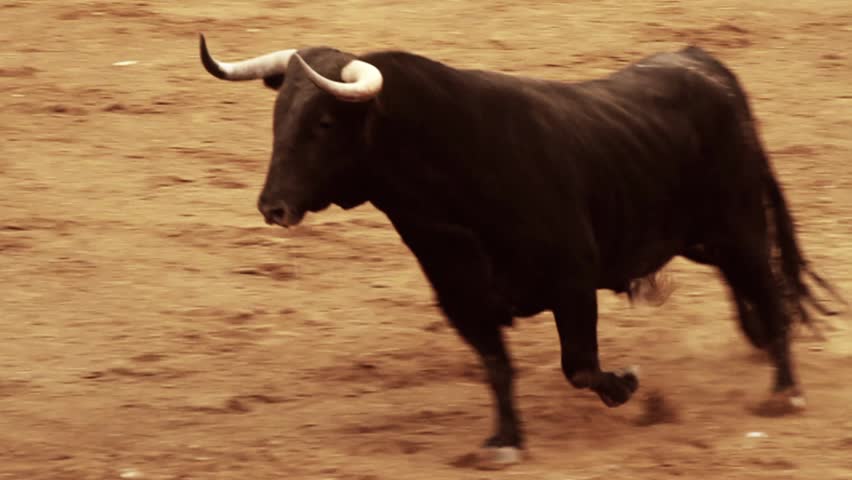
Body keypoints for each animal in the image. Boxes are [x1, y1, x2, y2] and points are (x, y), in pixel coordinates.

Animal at [198, 34, 846, 465]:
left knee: (768, 287)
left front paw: (626, 384)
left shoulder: (573, 280)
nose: (273, 207)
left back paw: (784, 392)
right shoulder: (460, 294)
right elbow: (497, 366)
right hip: (703, 238)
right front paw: (504, 442)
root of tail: (704, 63)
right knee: (751, 287)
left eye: (325, 124)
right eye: (279, 117)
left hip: (739, 225)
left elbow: (579, 365)